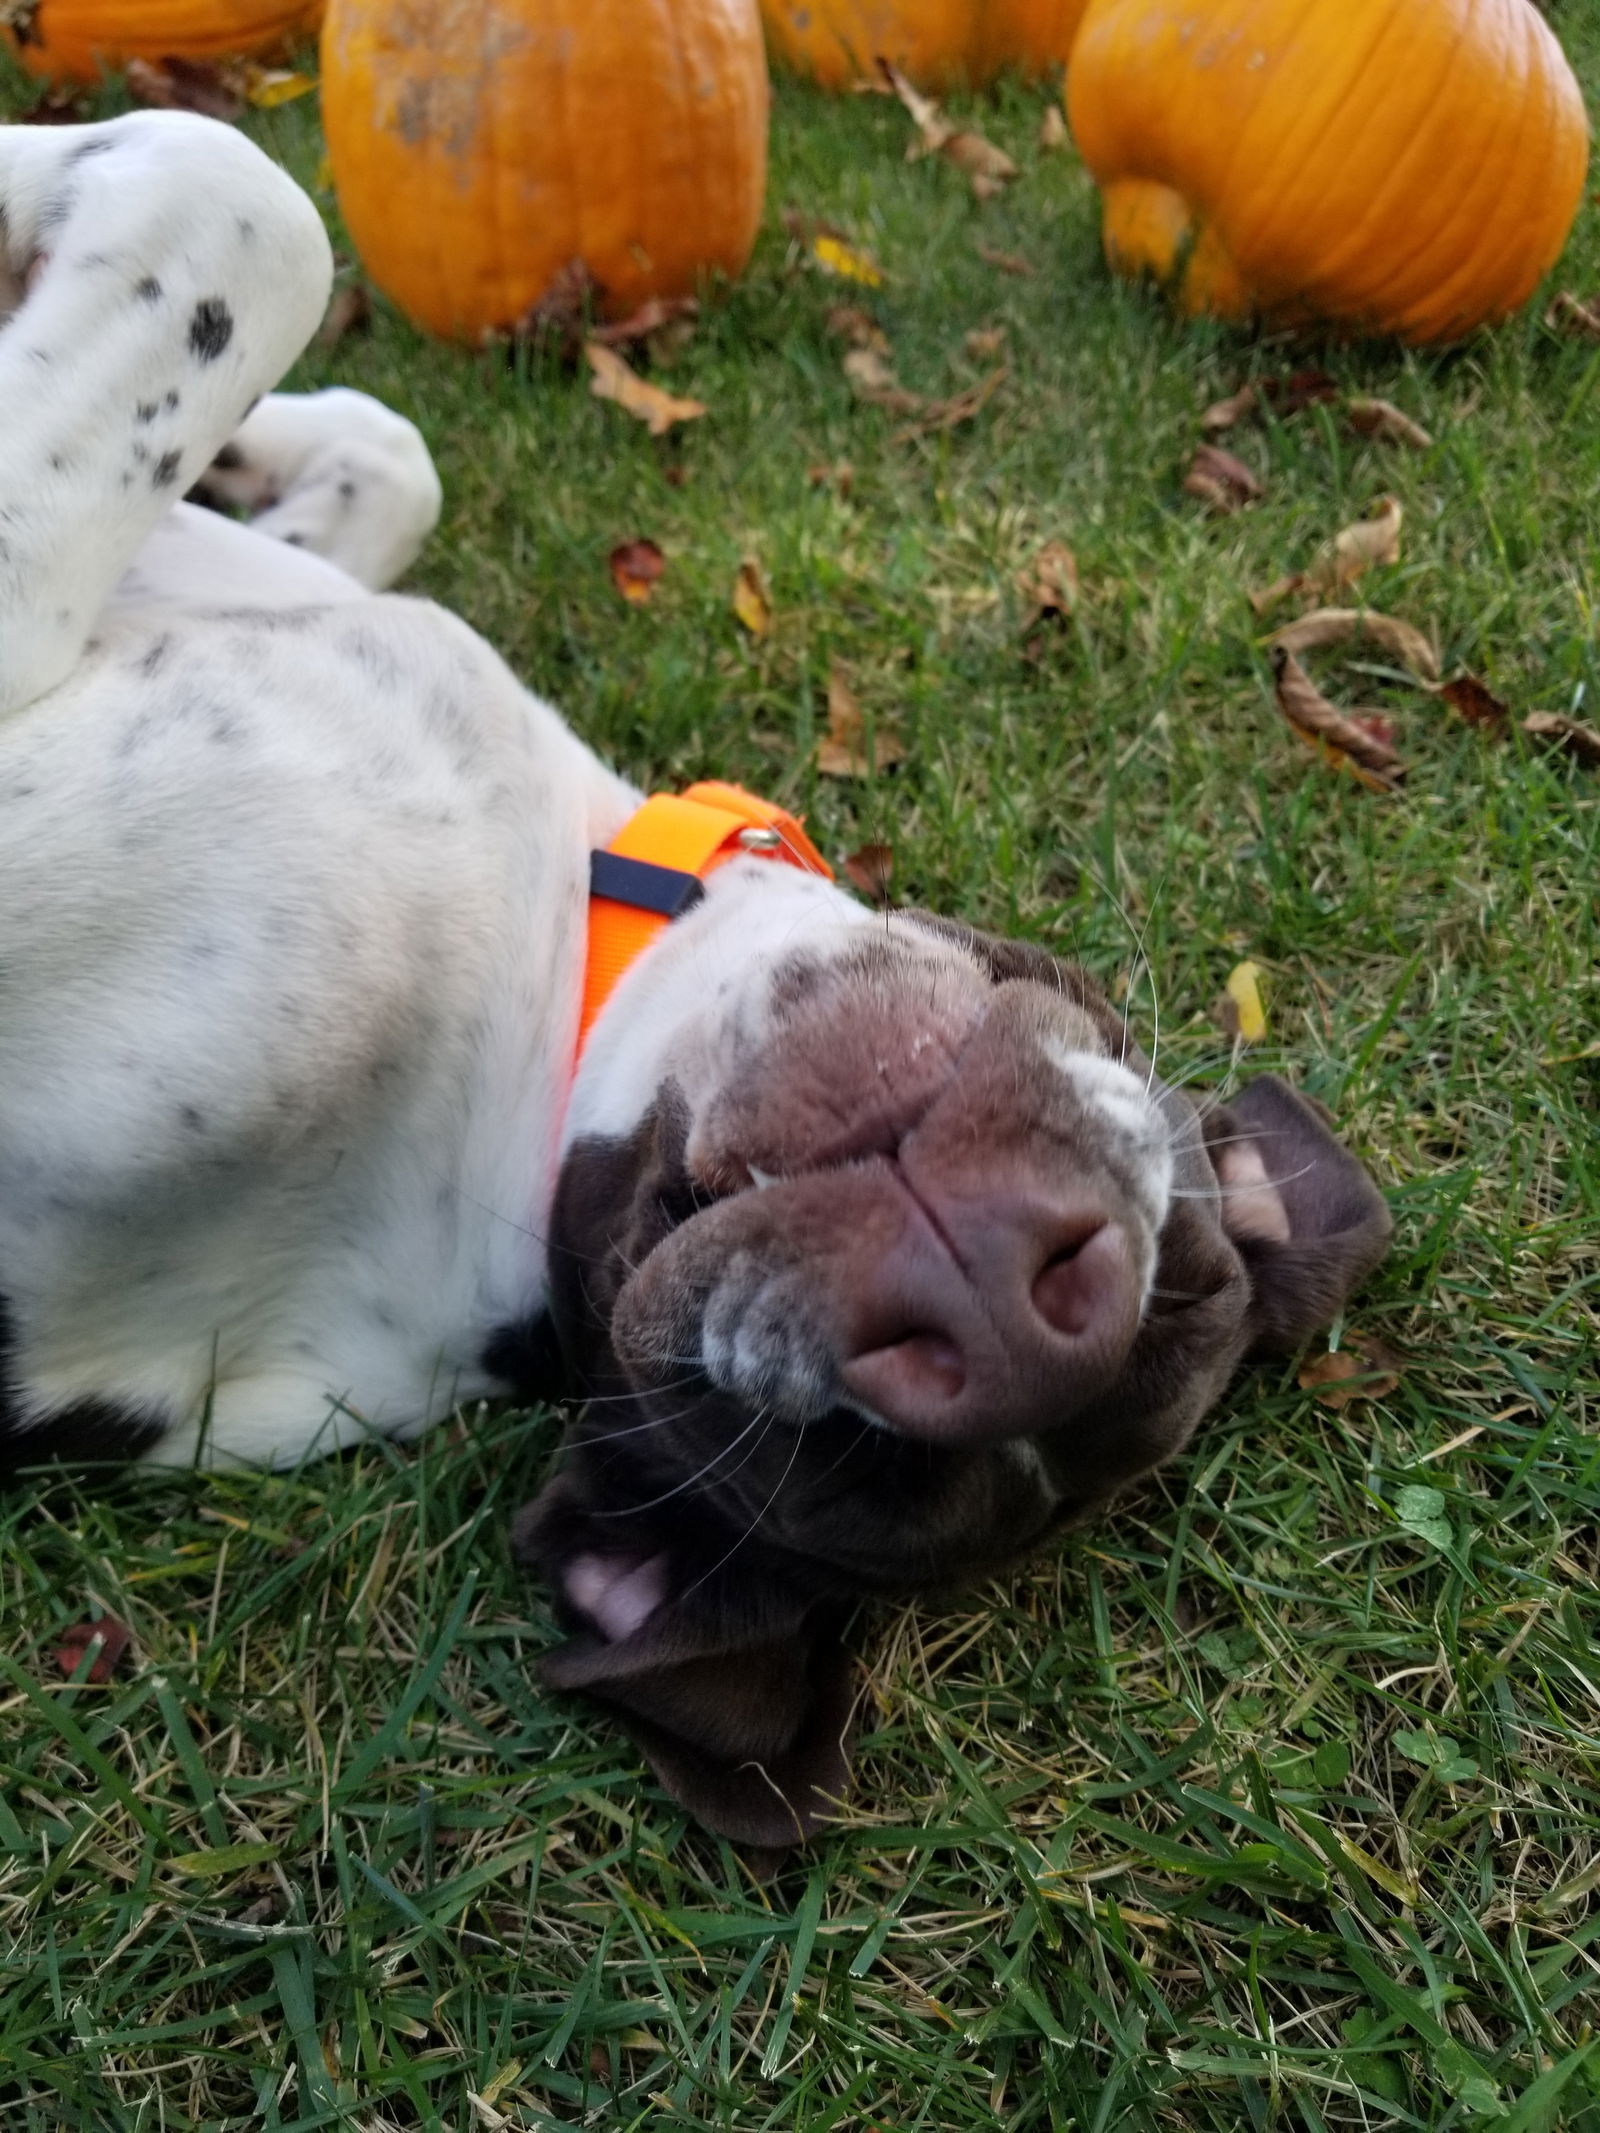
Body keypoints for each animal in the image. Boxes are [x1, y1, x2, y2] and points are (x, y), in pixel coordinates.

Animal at [0, 112, 1399, 1851]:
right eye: (1197, 1275)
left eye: (855, 1470)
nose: (1022, 1309)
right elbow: (382, 434)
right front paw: (262, 447)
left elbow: (236, 207)